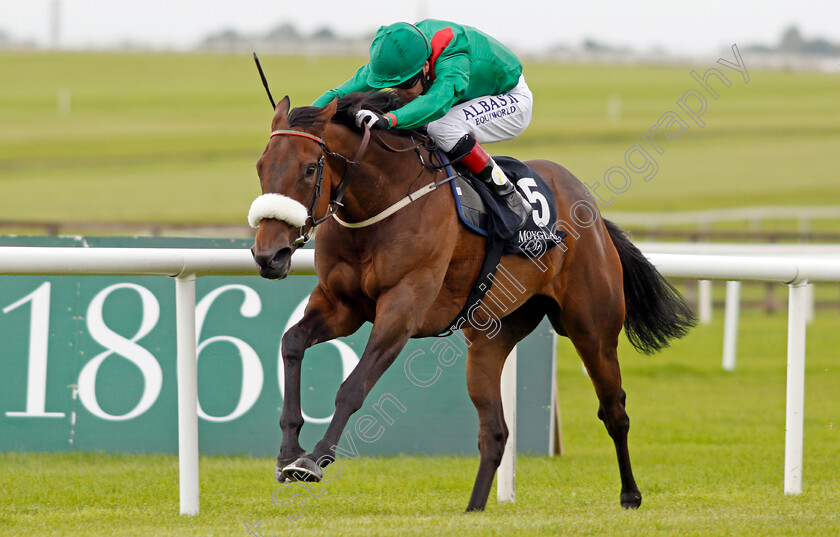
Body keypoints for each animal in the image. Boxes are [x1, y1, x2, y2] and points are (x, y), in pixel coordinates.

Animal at [249, 92, 696, 510]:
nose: (269, 255)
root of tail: (595, 215)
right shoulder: (341, 305)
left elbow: (353, 386)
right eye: (261, 166)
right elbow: (292, 343)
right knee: (495, 431)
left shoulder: (403, 306)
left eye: (310, 168)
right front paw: (288, 452)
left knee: (614, 410)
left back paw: (630, 494)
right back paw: (474, 509)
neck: (381, 202)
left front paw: (315, 458)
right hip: (489, 339)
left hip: (592, 329)